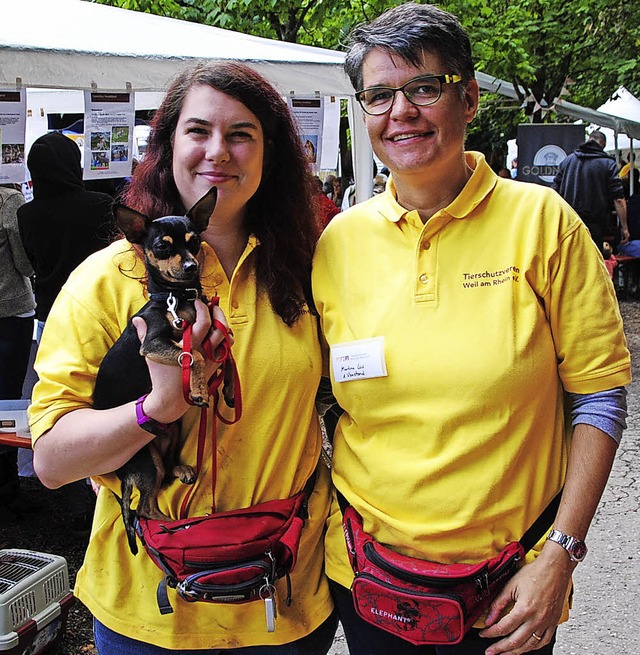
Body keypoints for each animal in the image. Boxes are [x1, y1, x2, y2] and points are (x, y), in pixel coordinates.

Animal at [92, 187, 228, 556]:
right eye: (163, 247)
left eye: (195, 243)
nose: (191, 265)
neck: (177, 296)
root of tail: (123, 473)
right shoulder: (152, 342)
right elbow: (195, 355)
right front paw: (199, 388)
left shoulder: (214, 328)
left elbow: (223, 351)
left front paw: (224, 389)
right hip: (146, 461)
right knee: (144, 508)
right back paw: (169, 526)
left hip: (171, 434)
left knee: (165, 474)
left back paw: (180, 469)